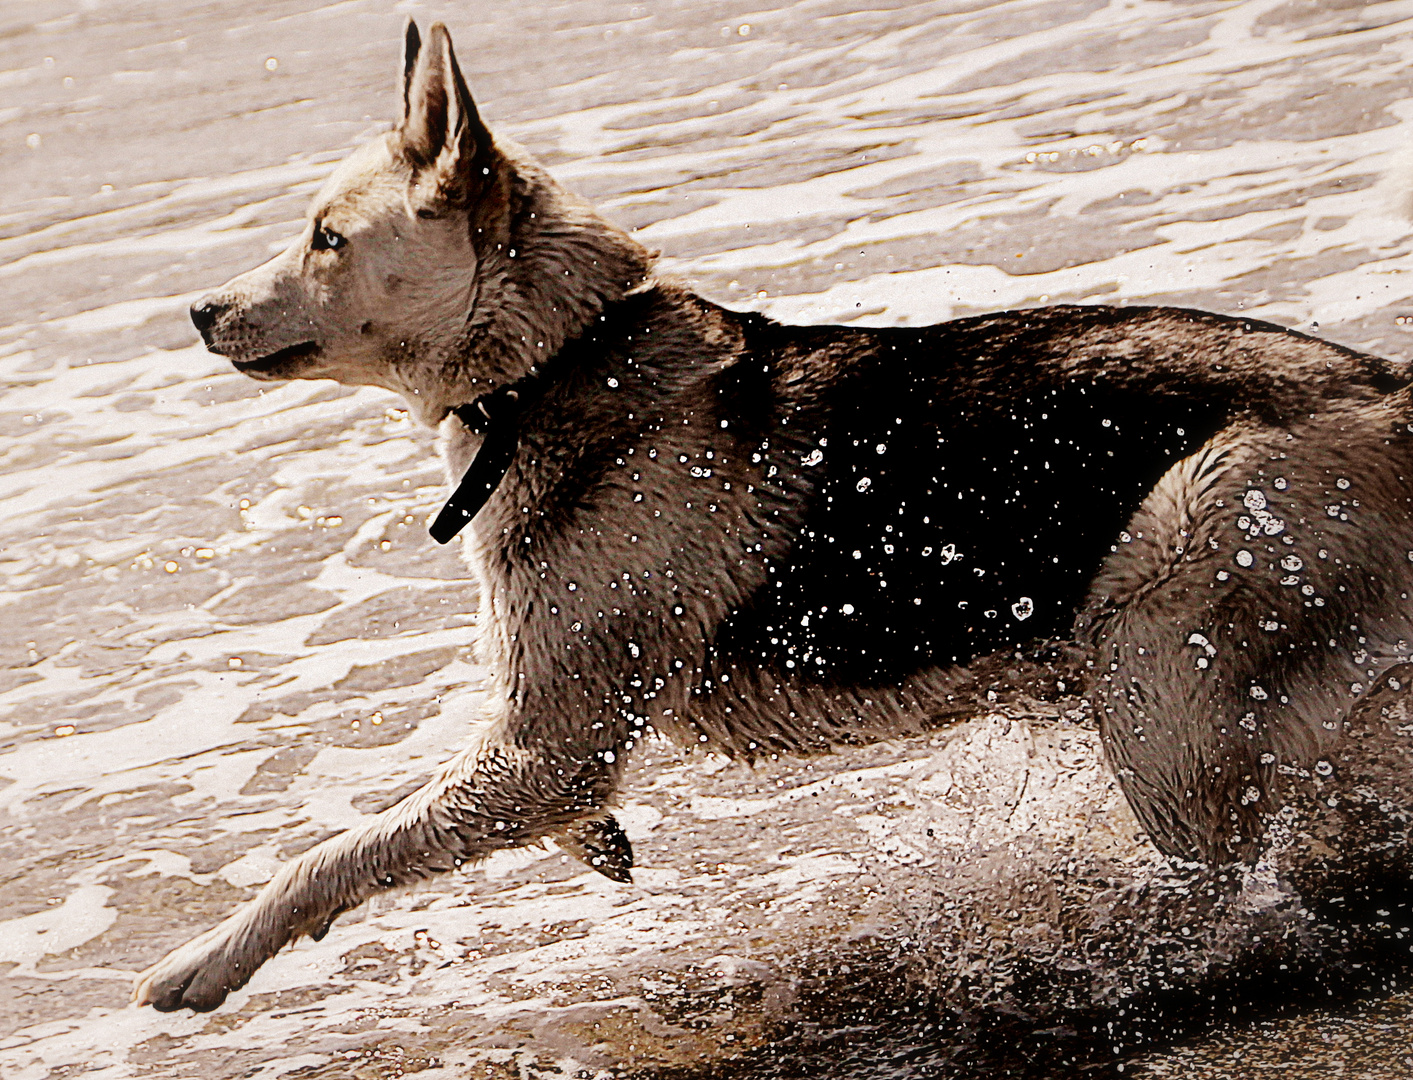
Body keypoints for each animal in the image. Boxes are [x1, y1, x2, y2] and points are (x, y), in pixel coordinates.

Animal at [134, 18, 1413, 1012]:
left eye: (327, 238)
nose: (195, 311)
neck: (556, 366)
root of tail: (1390, 393)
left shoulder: (554, 745)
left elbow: (338, 851)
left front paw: (205, 963)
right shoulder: (550, 747)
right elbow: (498, 809)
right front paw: (599, 846)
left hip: (1158, 642)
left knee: (1237, 870)